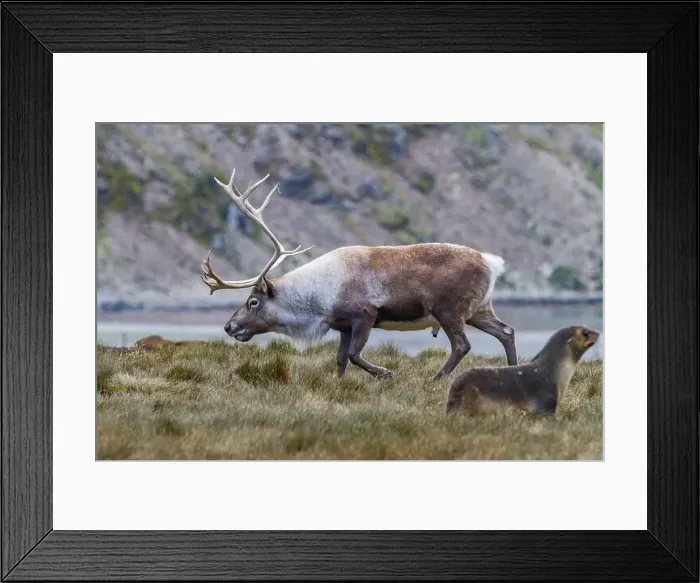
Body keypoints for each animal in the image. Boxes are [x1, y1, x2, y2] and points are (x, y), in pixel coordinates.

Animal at [200, 167, 518, 381]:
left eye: (253, 301)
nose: (229, 326)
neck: (317, 300)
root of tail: (492, 262)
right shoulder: (342, 325)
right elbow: (341, 359)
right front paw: (339, 384)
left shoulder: (364, 316)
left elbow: (354, 355)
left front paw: (386, 373)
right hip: (478, 309)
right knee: (506, 331)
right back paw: (514, 372)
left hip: (449, 310)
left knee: (462, 345)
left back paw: (437, 378)